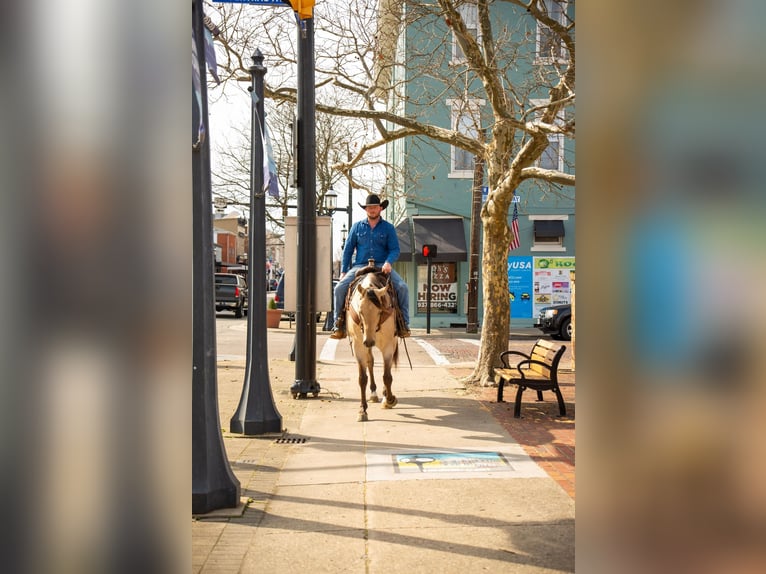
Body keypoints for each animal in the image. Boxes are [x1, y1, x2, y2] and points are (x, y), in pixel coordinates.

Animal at [344, 266, 400, 424]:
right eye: (360, 311)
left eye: (379, 311)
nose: (369, 341)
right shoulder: (358, 345)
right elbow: (362, 378)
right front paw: (362, 410)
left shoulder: (388, 345)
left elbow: (387, 376)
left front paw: (390, 399)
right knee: (370, 362)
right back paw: (374, 393)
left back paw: (385, 395)